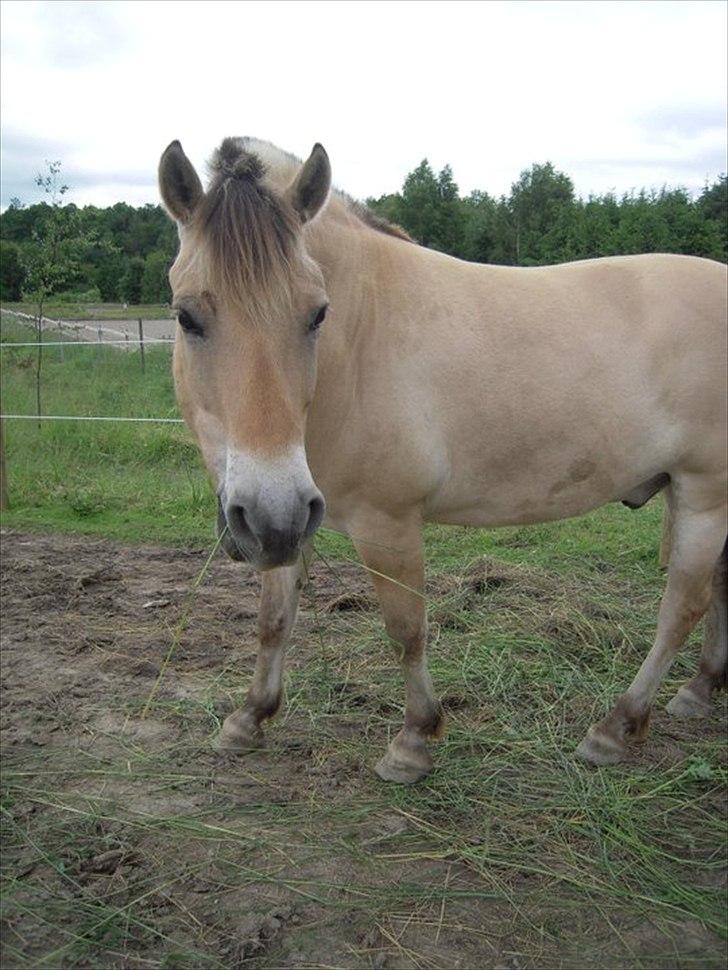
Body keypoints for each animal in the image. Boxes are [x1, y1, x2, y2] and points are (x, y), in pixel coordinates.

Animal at [159, 136, 728, 784]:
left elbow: (406, 629)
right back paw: (700, 690)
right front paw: (250, 717)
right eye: (186, 316)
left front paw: (413, 740)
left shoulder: (385, 522)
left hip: (704, 494)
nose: (269, 508)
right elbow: (274, 619)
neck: (359, 343)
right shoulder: (284, 520)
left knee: (682, 606)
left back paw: (617, 727)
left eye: (317, 313)